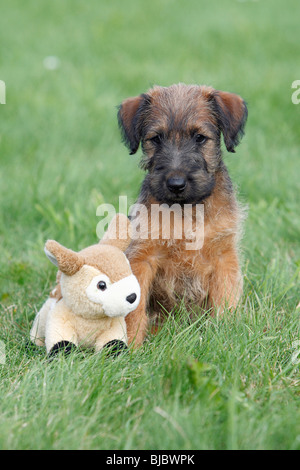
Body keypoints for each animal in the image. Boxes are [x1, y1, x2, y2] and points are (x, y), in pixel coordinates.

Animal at [117, 84, 248, 346]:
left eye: (199, 138)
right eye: (156, 138)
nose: (176, 184)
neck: (187, 211)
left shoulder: (224, 256)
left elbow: (225, 300)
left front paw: (225, 335)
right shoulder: (142, 258)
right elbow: (134, 309)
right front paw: (131, 346)